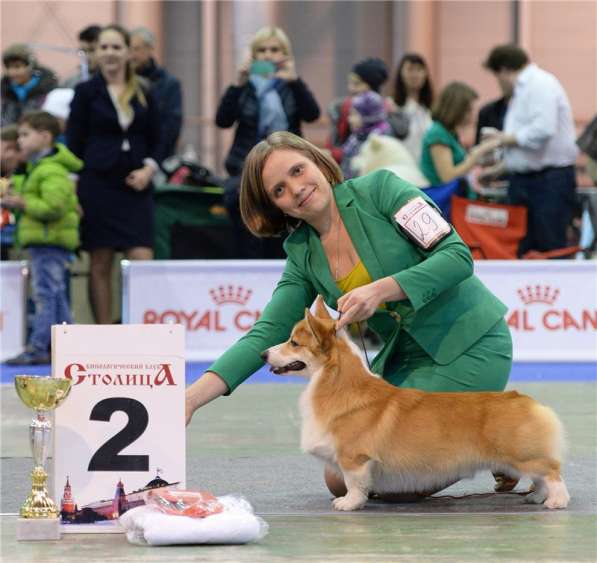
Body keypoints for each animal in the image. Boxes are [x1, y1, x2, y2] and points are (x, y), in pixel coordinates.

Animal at [260, 298, 568, 512]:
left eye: (293, 342)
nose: (263, 354)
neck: (338, 384)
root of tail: (527, 401)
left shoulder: (354, 458)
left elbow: (353, 484)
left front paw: (348, 504)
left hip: (524, 456)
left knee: (553, 474)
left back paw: (556, 502)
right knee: (541, 478)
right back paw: (536, 497)